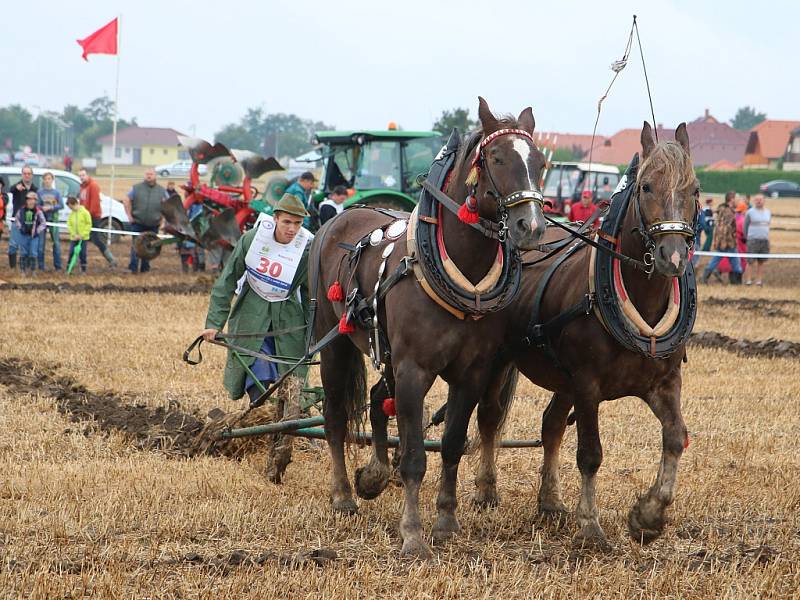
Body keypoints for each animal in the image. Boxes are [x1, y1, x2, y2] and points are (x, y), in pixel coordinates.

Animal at [310, 98, 552, 556]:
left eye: (540, 162)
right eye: (497, 157)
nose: (530, 227)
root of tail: (337, 219)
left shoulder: (472, 373)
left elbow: (453, 446)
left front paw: (445, 521)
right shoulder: (413, 370)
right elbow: (414, 457)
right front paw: (412, 534)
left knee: (376, 398)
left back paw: (372, 476)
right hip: (332, 341)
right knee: (335, 416)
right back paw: (342, 495)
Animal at [468, 123, 700, 548]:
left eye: (693, 189)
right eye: (646, 187)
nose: (672, 256)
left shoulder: (664, 382)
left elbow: (676, 437)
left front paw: (648, 516)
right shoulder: (588, 385)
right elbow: (591, 454)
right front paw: (590, 525)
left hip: (564, 379)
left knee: (552, 425)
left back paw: (550, 501)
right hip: (502, 361)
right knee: (490, 417)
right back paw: (486, 489)